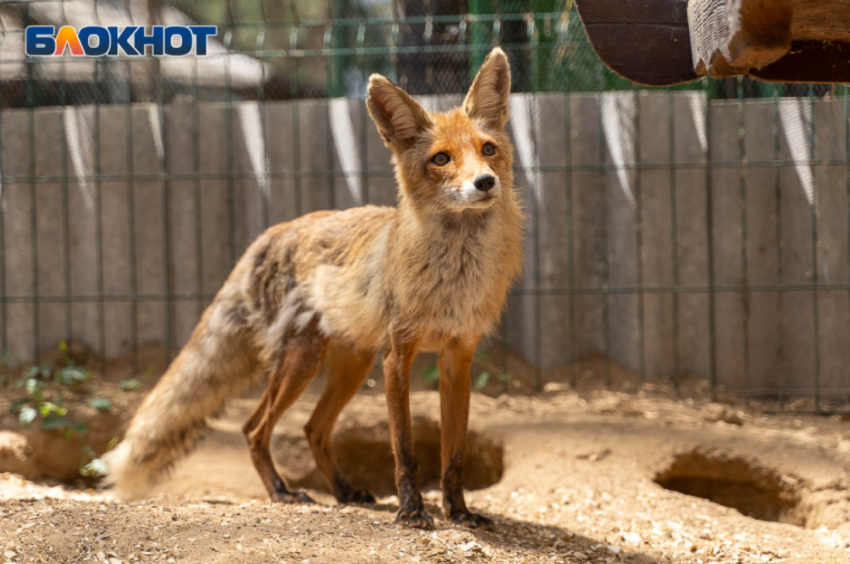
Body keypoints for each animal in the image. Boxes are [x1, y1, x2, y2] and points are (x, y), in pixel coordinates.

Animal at [106, 47, 524, 528]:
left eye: (488, 149)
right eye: (441, 159)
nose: (485, 182)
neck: (454, 276)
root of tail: (270, 233)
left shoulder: (457, 358)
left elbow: (453, 454)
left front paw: (459, 511)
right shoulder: (397, 357)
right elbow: (405, 450)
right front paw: (412, 511)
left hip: (351, 364)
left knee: (314, 429)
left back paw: (343, 492)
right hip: (302, 362)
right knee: (255, 429)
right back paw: (282, 492)